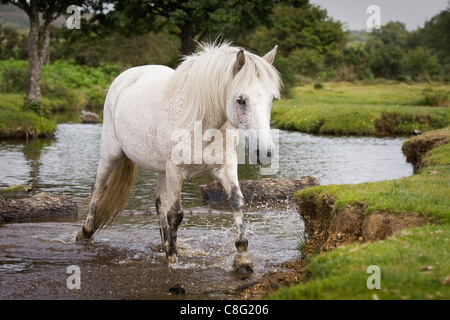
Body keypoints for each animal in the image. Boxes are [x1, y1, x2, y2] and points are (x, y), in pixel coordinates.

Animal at [77, 42, 282, 272]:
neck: (202, 124)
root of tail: (124, 77)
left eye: (272, 99)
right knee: (98, 187)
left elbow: (236, 202)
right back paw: (86, 232)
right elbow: (175, 214)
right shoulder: (175, 172)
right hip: (111, 154)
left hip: (161, 169)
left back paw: (165, 242)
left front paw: (243, 257)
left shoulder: (225, 168)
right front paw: (173, 259)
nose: (264, 152)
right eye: (241, 100)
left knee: (159, 201)